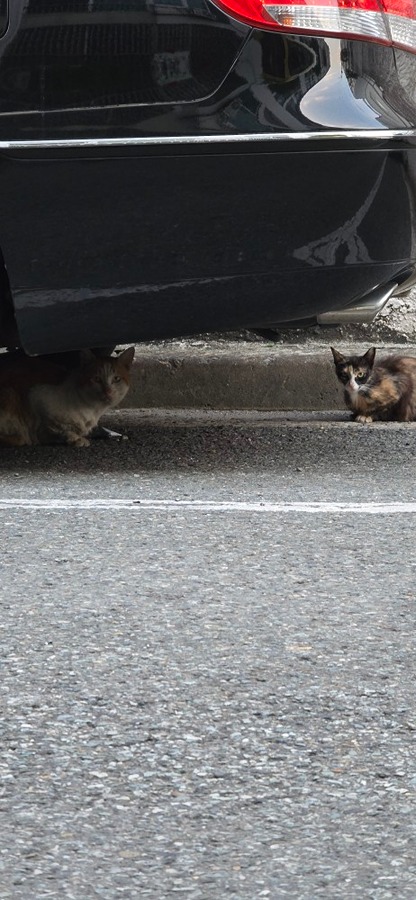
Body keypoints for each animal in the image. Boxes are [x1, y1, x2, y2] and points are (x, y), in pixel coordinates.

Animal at [0, 344, 135, 446]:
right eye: (97, 379)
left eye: (116, 379)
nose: (108, 391)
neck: (93, 409)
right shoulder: (35, 395)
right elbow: (51, 428)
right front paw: (73, 437)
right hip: (11, 395)